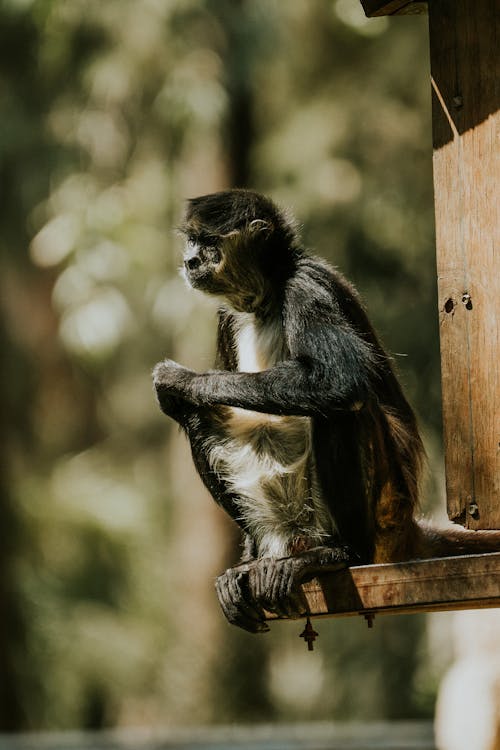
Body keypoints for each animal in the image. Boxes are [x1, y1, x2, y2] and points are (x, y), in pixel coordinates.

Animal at [153, 189, 500, 636]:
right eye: (191, 242)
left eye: (208, 243)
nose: (190, 261)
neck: (264, 301)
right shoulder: (227, 316)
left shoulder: (306, 285)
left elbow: (341, 381)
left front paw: (181, 380)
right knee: (198, 416)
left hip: (385, 508)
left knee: (340, 409)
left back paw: (341, 554)